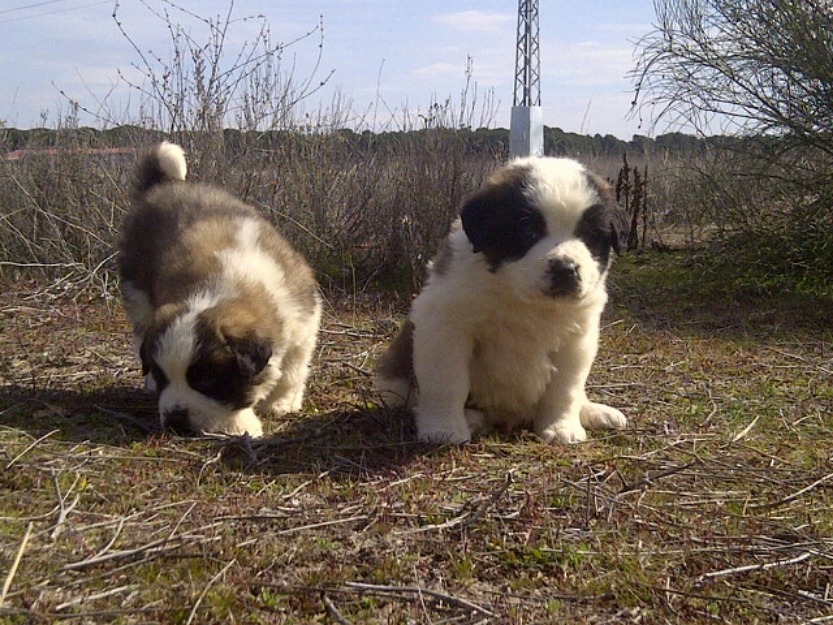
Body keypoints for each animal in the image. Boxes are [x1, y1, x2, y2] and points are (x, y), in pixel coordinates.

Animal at [118, 142, 320, 436]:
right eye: (162, 375)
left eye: (206, 381)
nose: (175, 419)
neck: (227, 284)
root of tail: (163, 186)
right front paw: (239, 423)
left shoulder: (303, 321)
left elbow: (293, 369)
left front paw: (281, 402)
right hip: (139, 294)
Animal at [374, 155, 628, 444]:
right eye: (529, 231)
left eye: (590, 236)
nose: (565, 268)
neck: (522, 299)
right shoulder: (445, 325)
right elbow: (447, 381)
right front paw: (444, 428)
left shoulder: (577, 338)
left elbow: (565, 388)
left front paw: (561, 426)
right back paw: (471, 418)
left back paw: (594, 411)